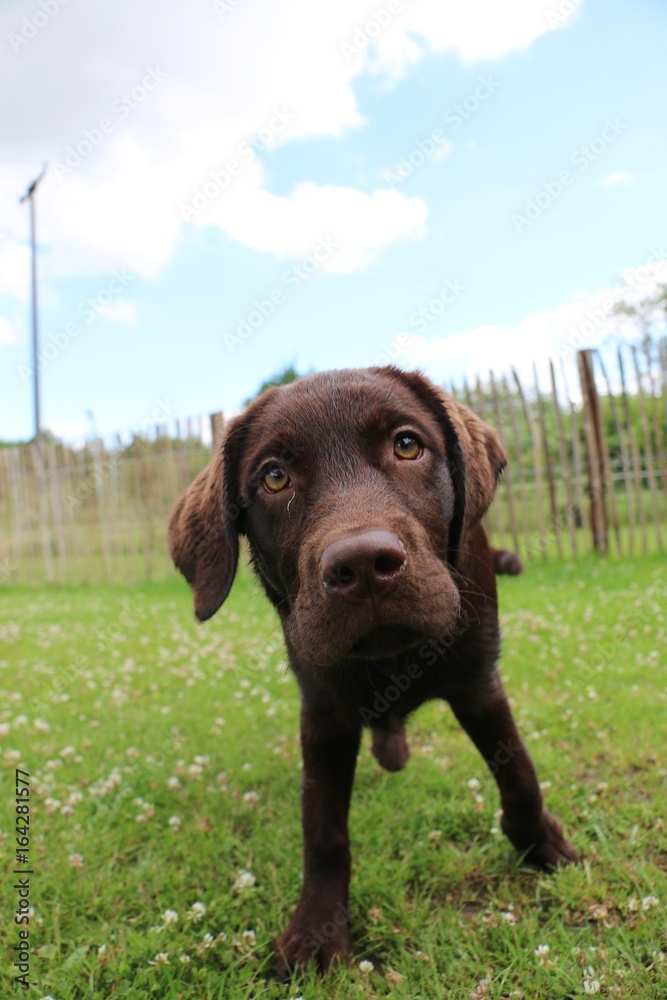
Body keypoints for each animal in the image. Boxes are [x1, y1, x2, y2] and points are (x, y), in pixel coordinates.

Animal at [170, 368, 576, 976]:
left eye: (407, 445)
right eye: (274, 476)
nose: (362, 565)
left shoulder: (478, 682)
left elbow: (519, 771)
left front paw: (542, 845)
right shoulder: (324, 715)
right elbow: (323, 830)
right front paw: (317, 930)